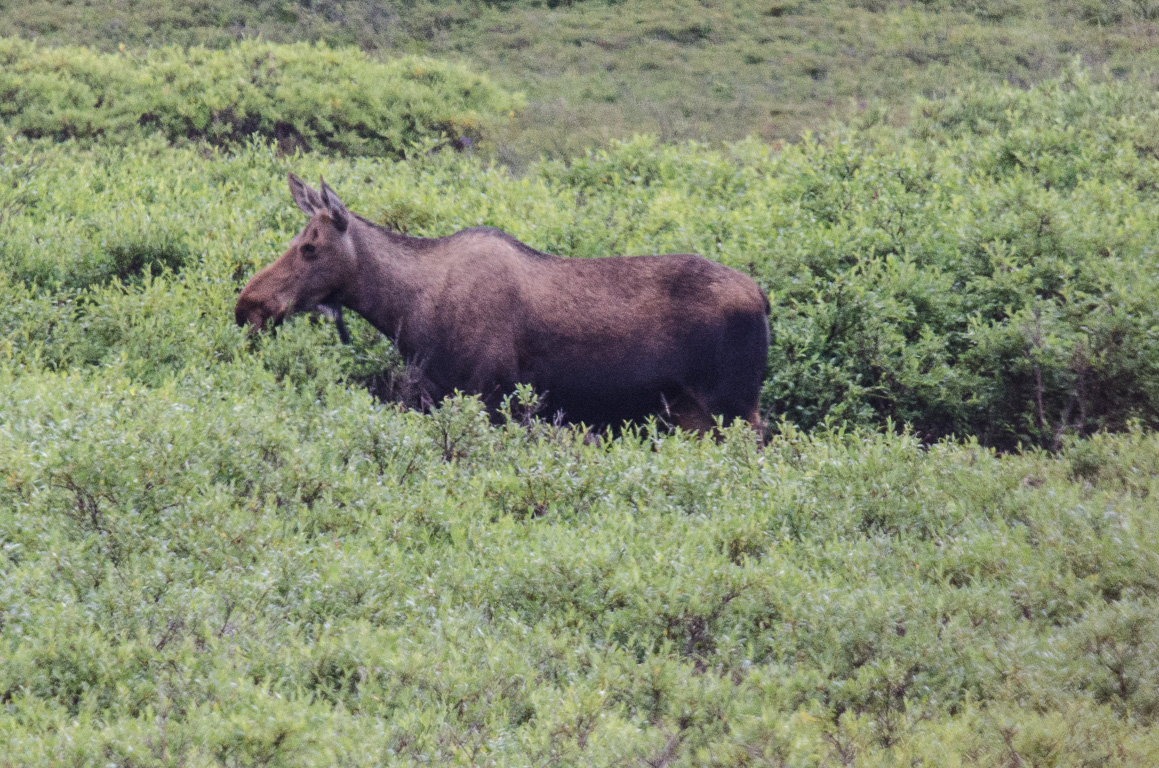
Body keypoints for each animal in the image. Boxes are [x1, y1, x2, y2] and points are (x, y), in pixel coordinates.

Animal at [234, 174, 769, 435]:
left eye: (310, 246)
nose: (248, 305)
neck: (406, 310)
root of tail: (763, 298)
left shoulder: (490, 395)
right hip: (692, 410)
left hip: (735, 404)